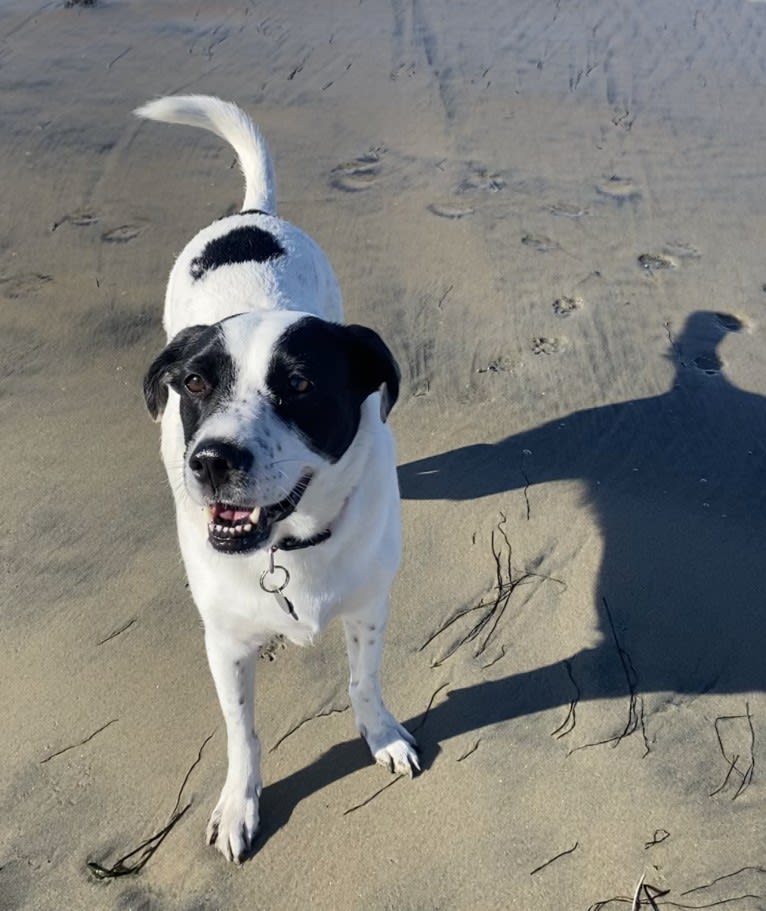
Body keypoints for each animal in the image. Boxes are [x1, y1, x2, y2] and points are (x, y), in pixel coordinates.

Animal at [136, 98, 420, 864]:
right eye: (194, 383)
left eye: (299, 385)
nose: (210, 461)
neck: (288, 547)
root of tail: (251, 214)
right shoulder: (227, 643)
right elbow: (243, 732)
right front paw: (239, 804)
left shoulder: (370, 607)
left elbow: (363, 680)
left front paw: (381, 734)